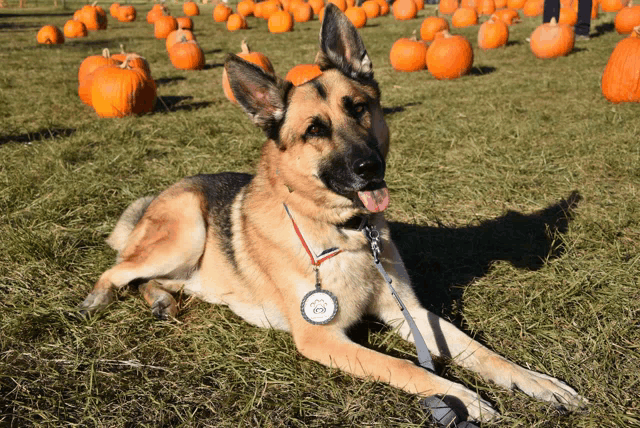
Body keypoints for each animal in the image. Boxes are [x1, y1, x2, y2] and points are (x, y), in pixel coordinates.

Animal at [82, 5, 588, 422]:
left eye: (359, 108)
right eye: (314, 130)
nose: (370, 168)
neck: (347, 234)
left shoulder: (409, 312)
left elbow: (481, 352)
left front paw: (538, 382)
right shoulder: (323, 339)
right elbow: (405, 366)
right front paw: (459, 396)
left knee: (150, 280)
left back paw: (161, 300)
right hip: (186, 232)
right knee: (118, 269)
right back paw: (99, 299)